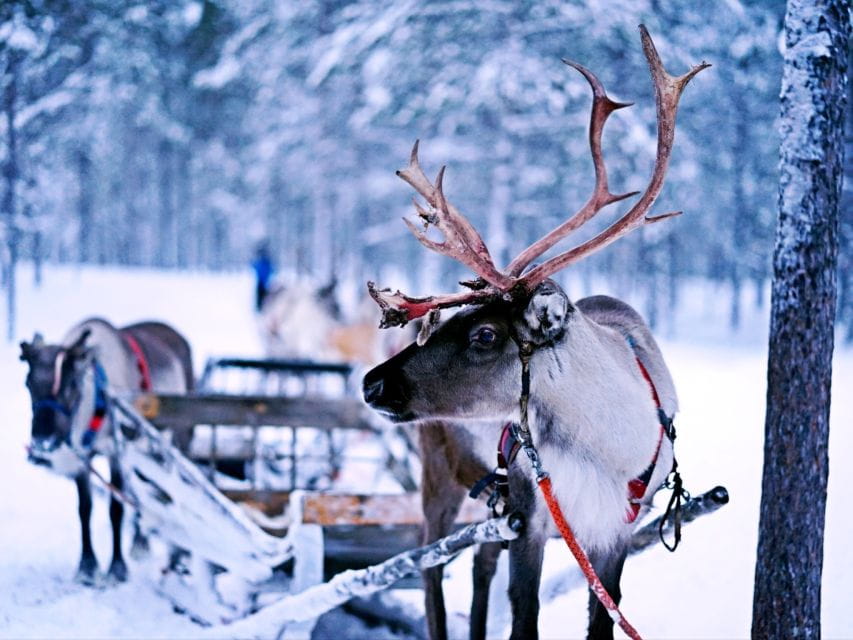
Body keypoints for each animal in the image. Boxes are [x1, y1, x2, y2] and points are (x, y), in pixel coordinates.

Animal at [361, 26, 709, 640]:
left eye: (484, 335)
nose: (372, 383)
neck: (605, 447)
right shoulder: (531, 514)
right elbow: (525, 616)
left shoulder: (613, 529)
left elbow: (603, 617)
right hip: (439, 477)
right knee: (430, 563)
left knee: (476, 562)